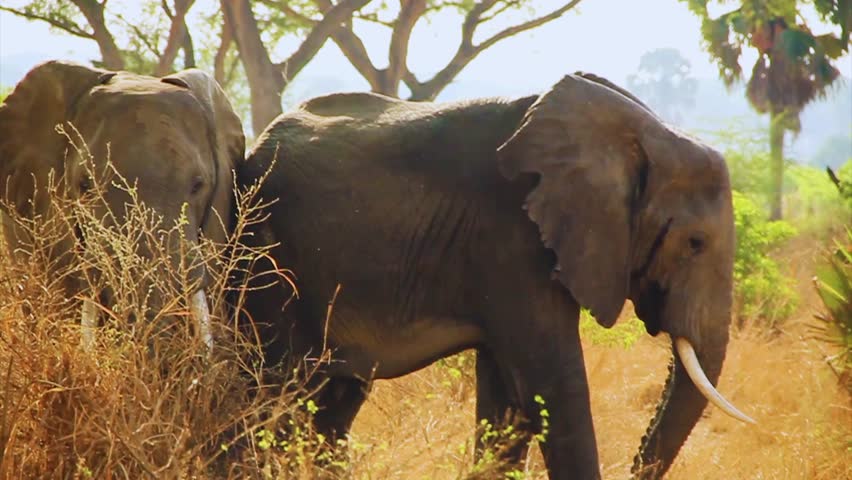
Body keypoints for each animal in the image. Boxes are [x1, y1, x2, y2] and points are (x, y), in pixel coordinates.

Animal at [236, 72, 754, 479]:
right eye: (695, 243)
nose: (633, 467)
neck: (640, 132)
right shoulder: (513, 238)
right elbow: (553, 387)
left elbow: (507, 401)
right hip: (270, 259)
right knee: (280, 390)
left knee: (334, 402)